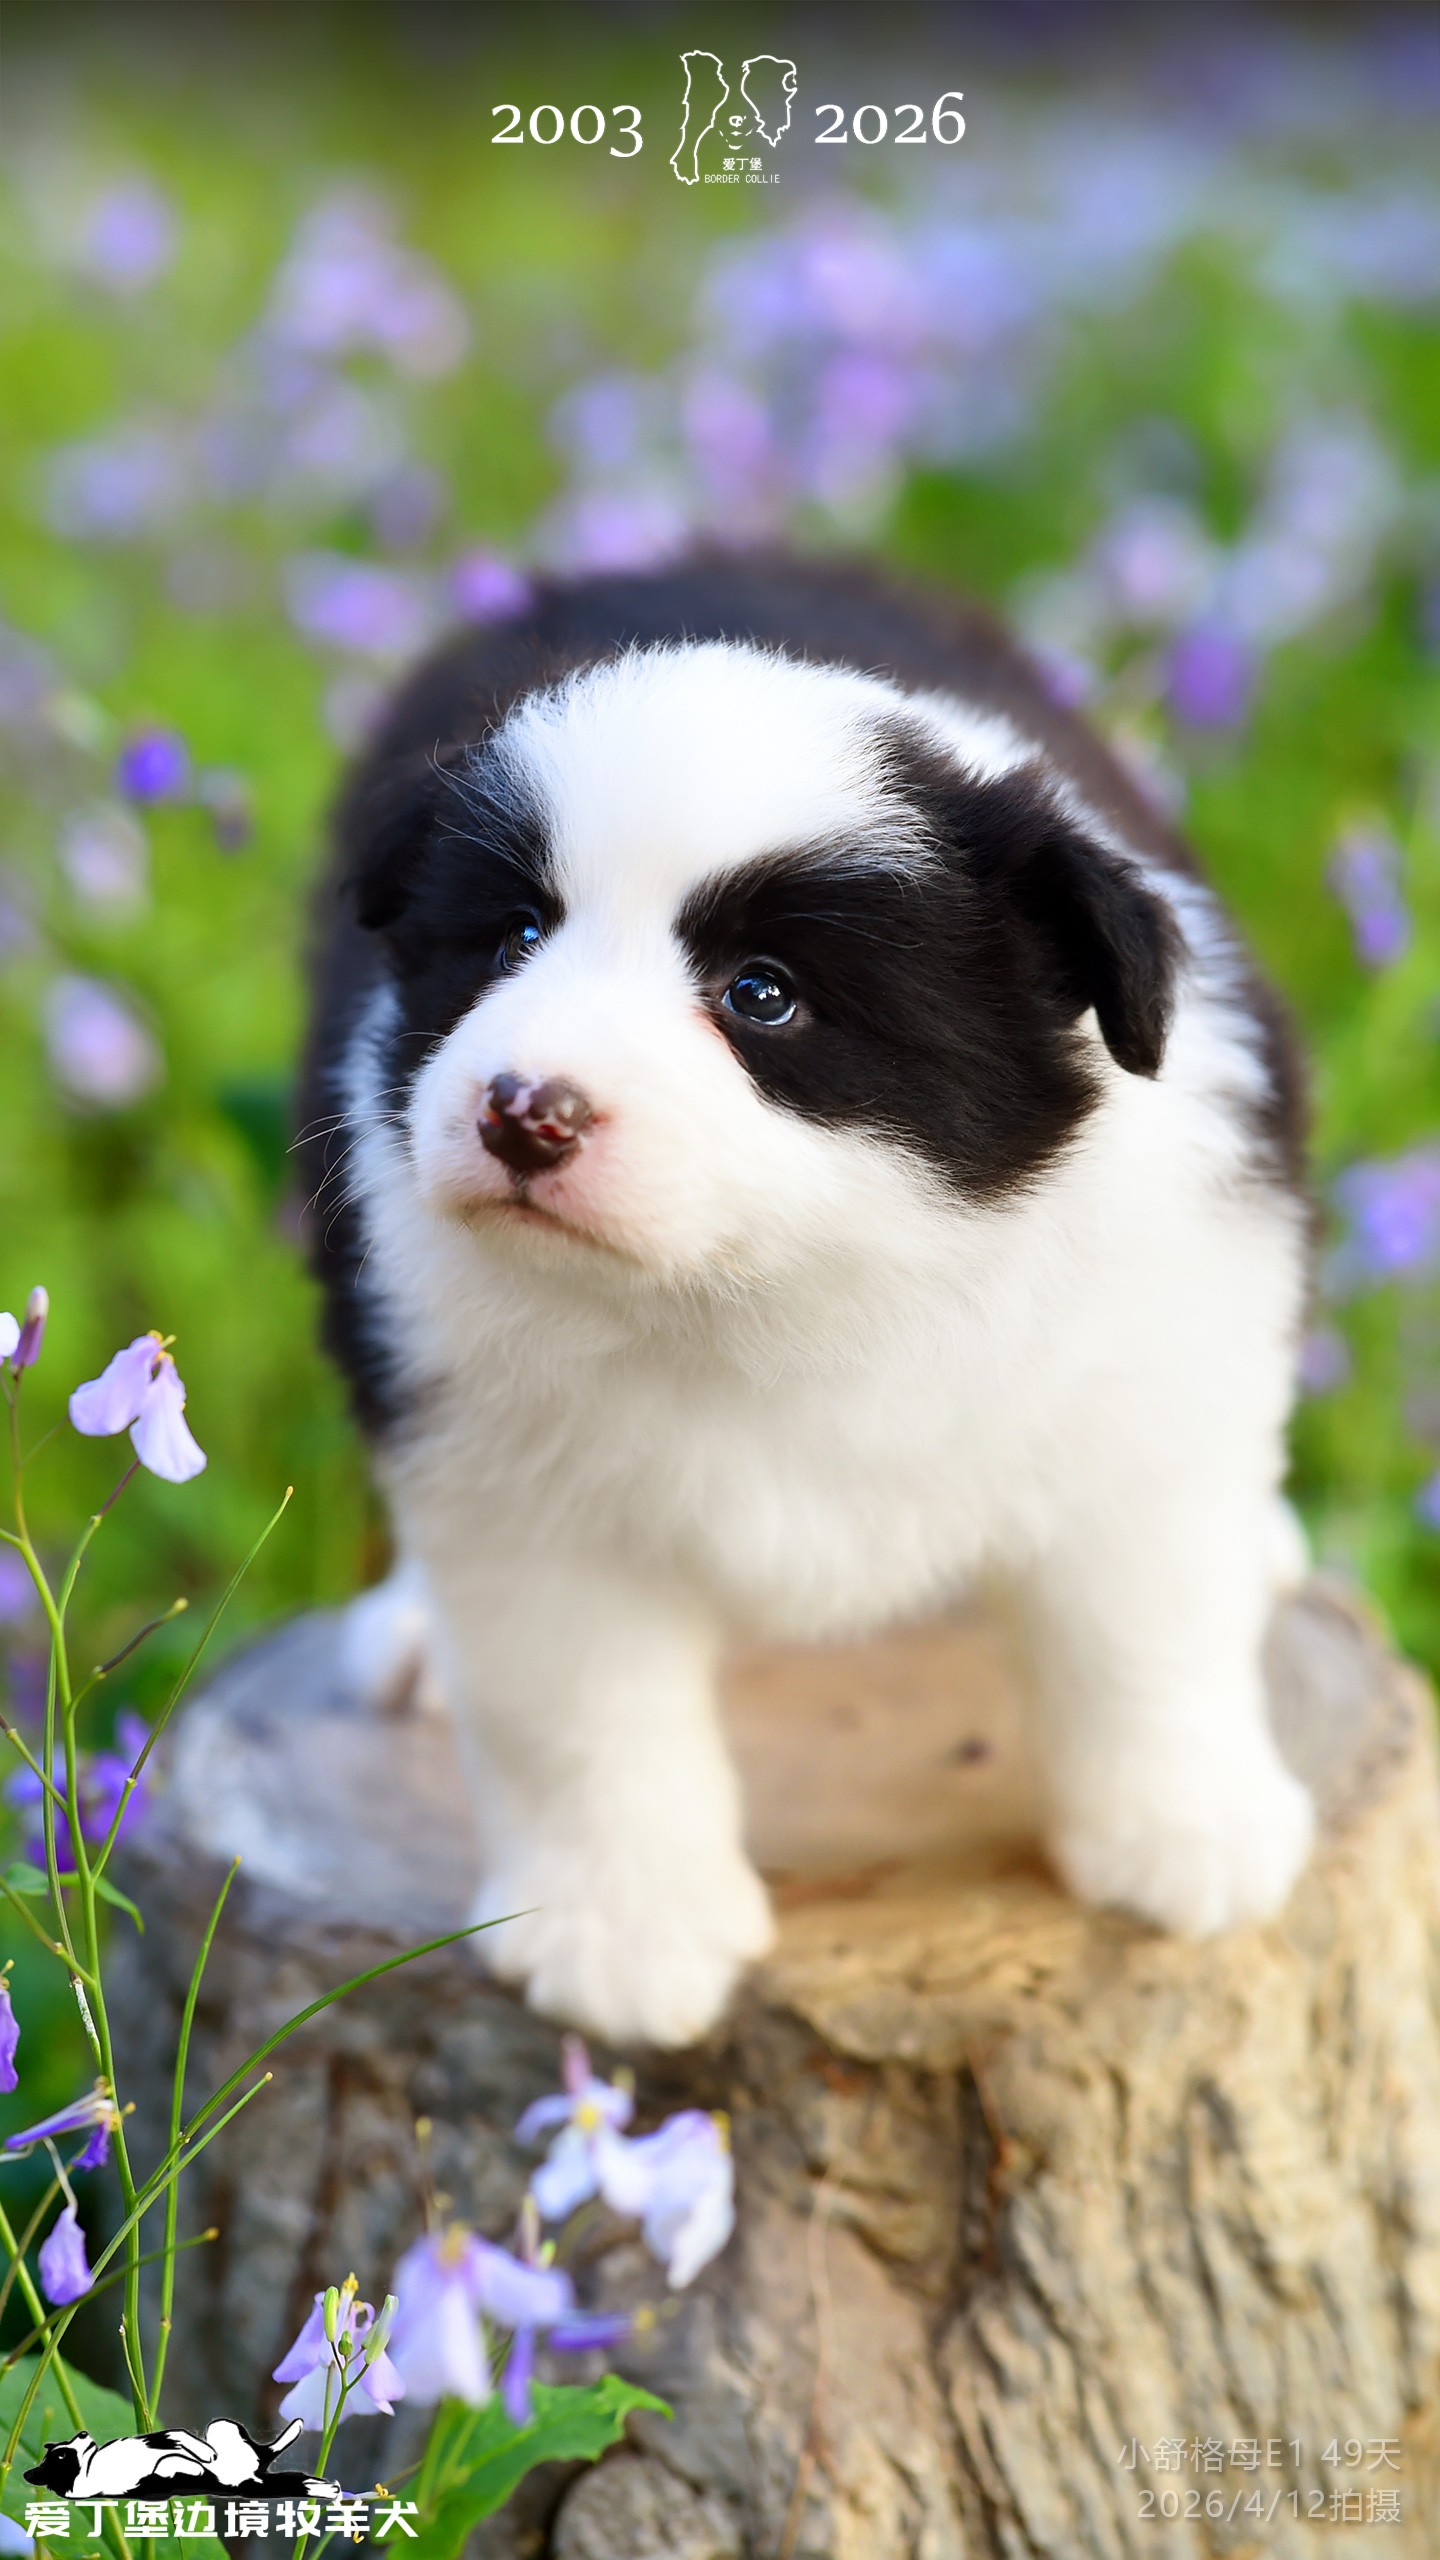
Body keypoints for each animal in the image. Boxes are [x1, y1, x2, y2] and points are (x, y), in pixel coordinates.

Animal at [298, 556, 1314, 2051]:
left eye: (761, 996)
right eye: (515, 935)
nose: (523, 1110)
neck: (775, 1285)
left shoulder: (1156, 1357)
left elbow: (1147, 1621)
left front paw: (1189, 1838)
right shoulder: (505, 1473)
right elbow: (578, 1707)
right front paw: (625, 1935)